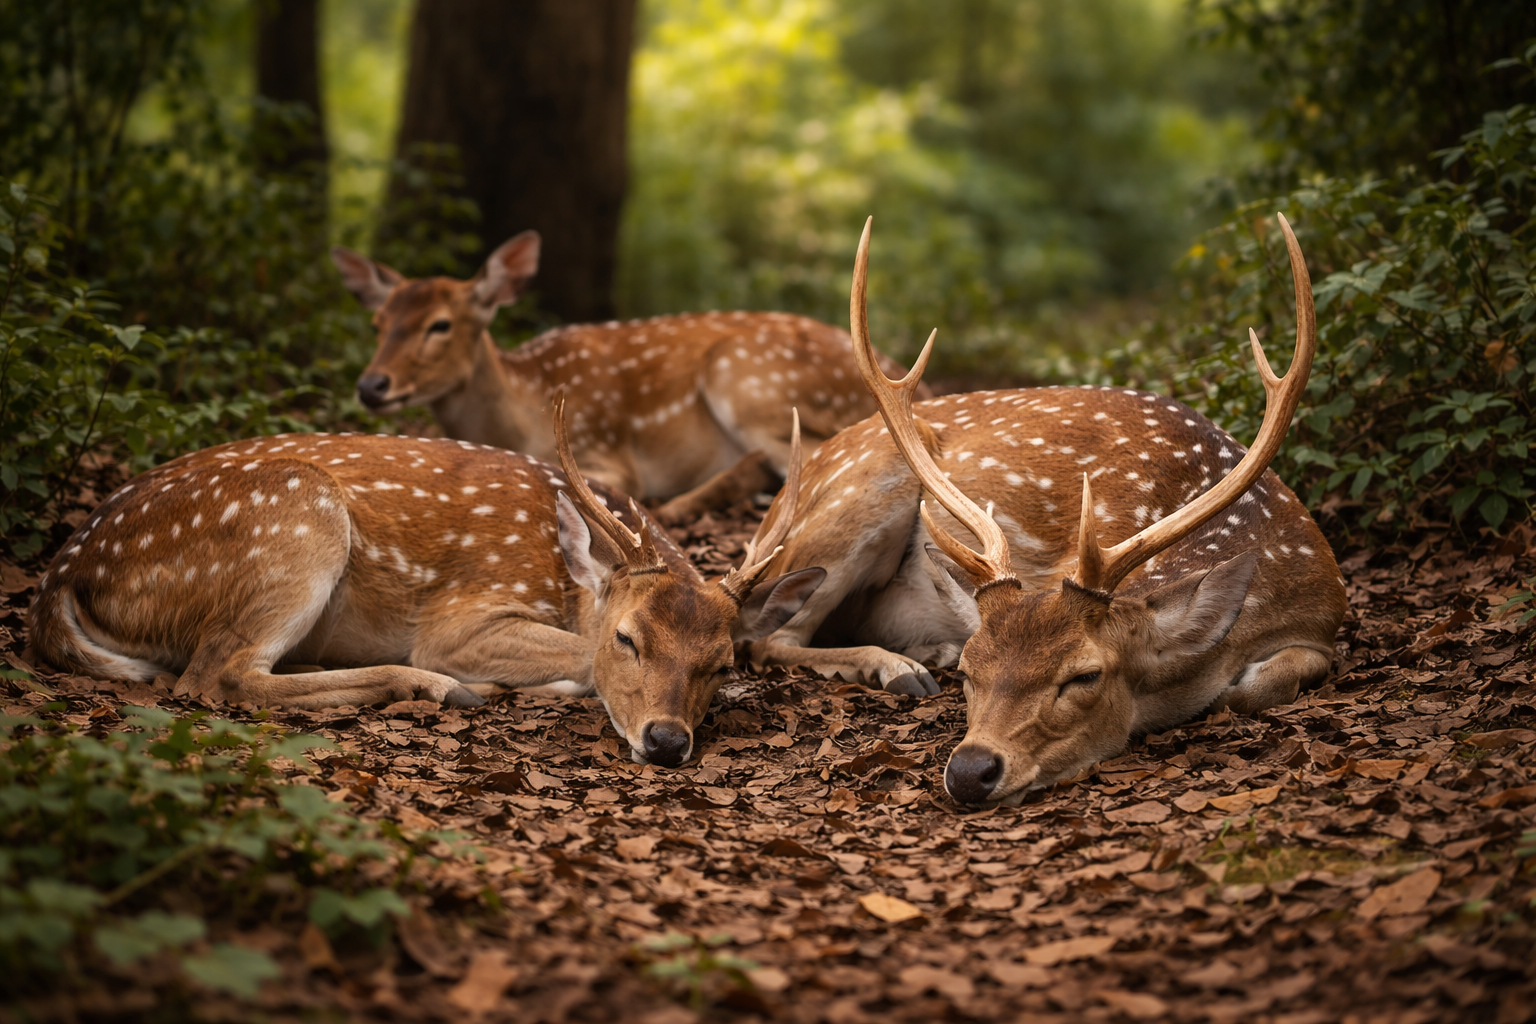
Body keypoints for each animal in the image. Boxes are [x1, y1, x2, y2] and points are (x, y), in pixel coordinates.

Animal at [26, 400, 825, 767]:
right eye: (626, 639)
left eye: (719, 664)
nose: (665, 739)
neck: (566, 580)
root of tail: (67, 572)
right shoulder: (463, 616)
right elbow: (573, 660)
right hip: (297, 521)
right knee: (216, 675)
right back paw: (444, 688)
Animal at [330, 232, 926, 525]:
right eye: (378, 323)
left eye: (440, 324)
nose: (371, 386)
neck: (525, 406)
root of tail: (902, 372)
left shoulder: (604, 447)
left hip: (745, 376)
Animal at [745, 216, 1347, 805]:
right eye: (971, 671)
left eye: (1085, 676)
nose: (970, 771)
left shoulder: (1323, 615)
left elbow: (1263, 683)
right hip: (857, 494)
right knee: (767, 638)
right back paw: (902, 669)